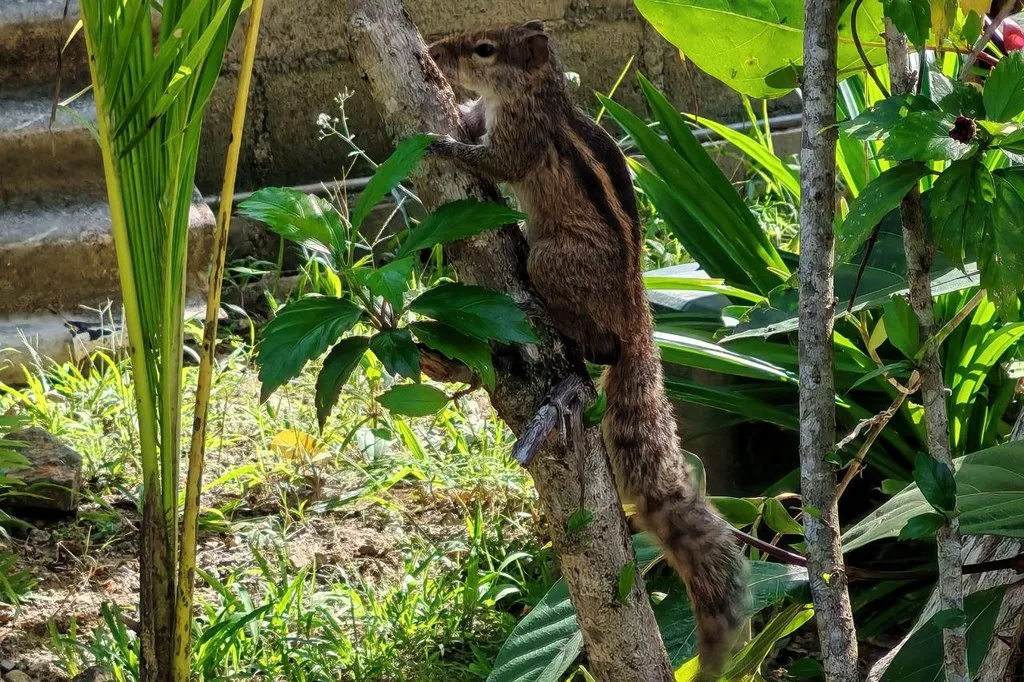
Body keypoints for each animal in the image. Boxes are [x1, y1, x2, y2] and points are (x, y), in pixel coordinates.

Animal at [427, 20, 747, 679]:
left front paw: (439, 143)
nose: (434, 51)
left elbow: (492, 159)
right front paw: (454, 116)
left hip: (557, 262)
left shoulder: (521, 138)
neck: (533, 91)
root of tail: (635, 310)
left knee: (599, 347)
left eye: (484, 49)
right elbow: (474, 124)